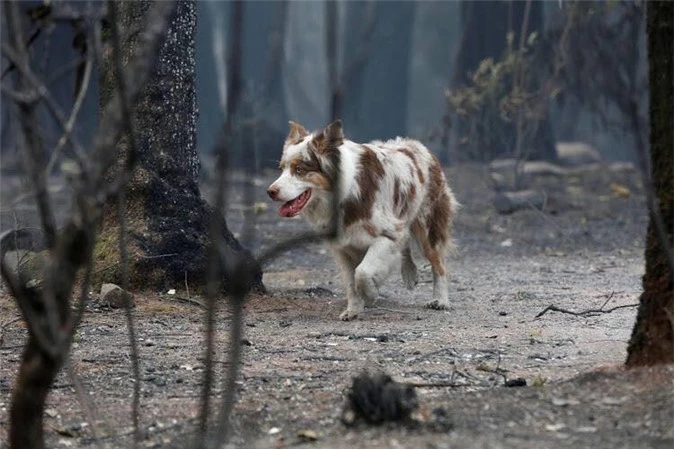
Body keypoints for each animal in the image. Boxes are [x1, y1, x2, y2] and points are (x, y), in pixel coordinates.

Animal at [266, 119, 460, 320]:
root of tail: (418, 145)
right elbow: (350, 282)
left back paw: (440, 300)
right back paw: (410, 274)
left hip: (428, 225)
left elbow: (362, 272)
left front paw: (370, 293)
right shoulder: (343, 247)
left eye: (299, 170)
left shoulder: (388, 234)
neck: (343, 196)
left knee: (438, 263)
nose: (270, 191)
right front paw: (353, 310)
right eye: (281, 169)